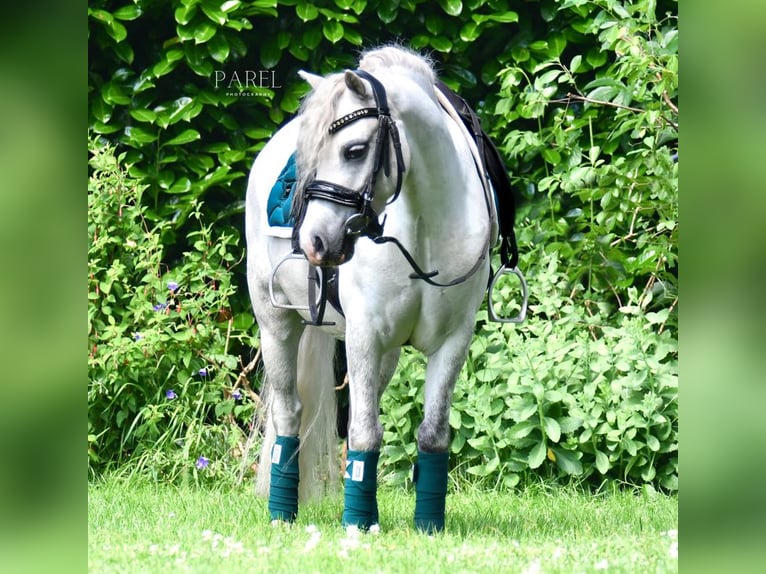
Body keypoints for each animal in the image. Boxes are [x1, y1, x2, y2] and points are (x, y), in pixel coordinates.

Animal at [244, 46, 498, 536]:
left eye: (354, 149)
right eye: (309, 154)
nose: (314, 242)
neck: (426, 230)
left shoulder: (453, 340)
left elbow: (432, 434)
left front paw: (428, 525)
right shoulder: (363, 336)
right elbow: (364, 431)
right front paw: (358, 525)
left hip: (389, 354)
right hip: (276, 324)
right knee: (289, 413)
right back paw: (282, 513)